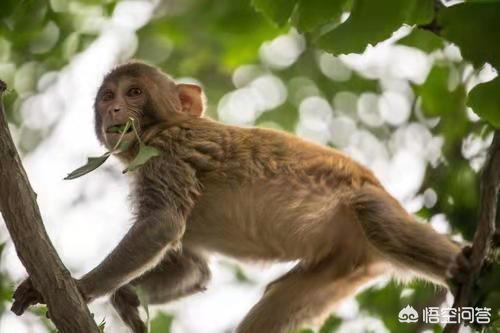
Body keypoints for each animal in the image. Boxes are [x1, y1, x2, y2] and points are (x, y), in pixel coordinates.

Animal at [11, 61, 470, 330]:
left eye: (134, 93)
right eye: (108, 96)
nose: (113, 111)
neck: (166, 125)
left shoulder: (165, 154)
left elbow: (162, 225)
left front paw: (79, 287)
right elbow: (194, 269)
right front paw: (126, 297)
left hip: (367, 209)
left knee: (376, 217)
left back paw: (469, 269)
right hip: (341, 265)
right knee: (281, 296)